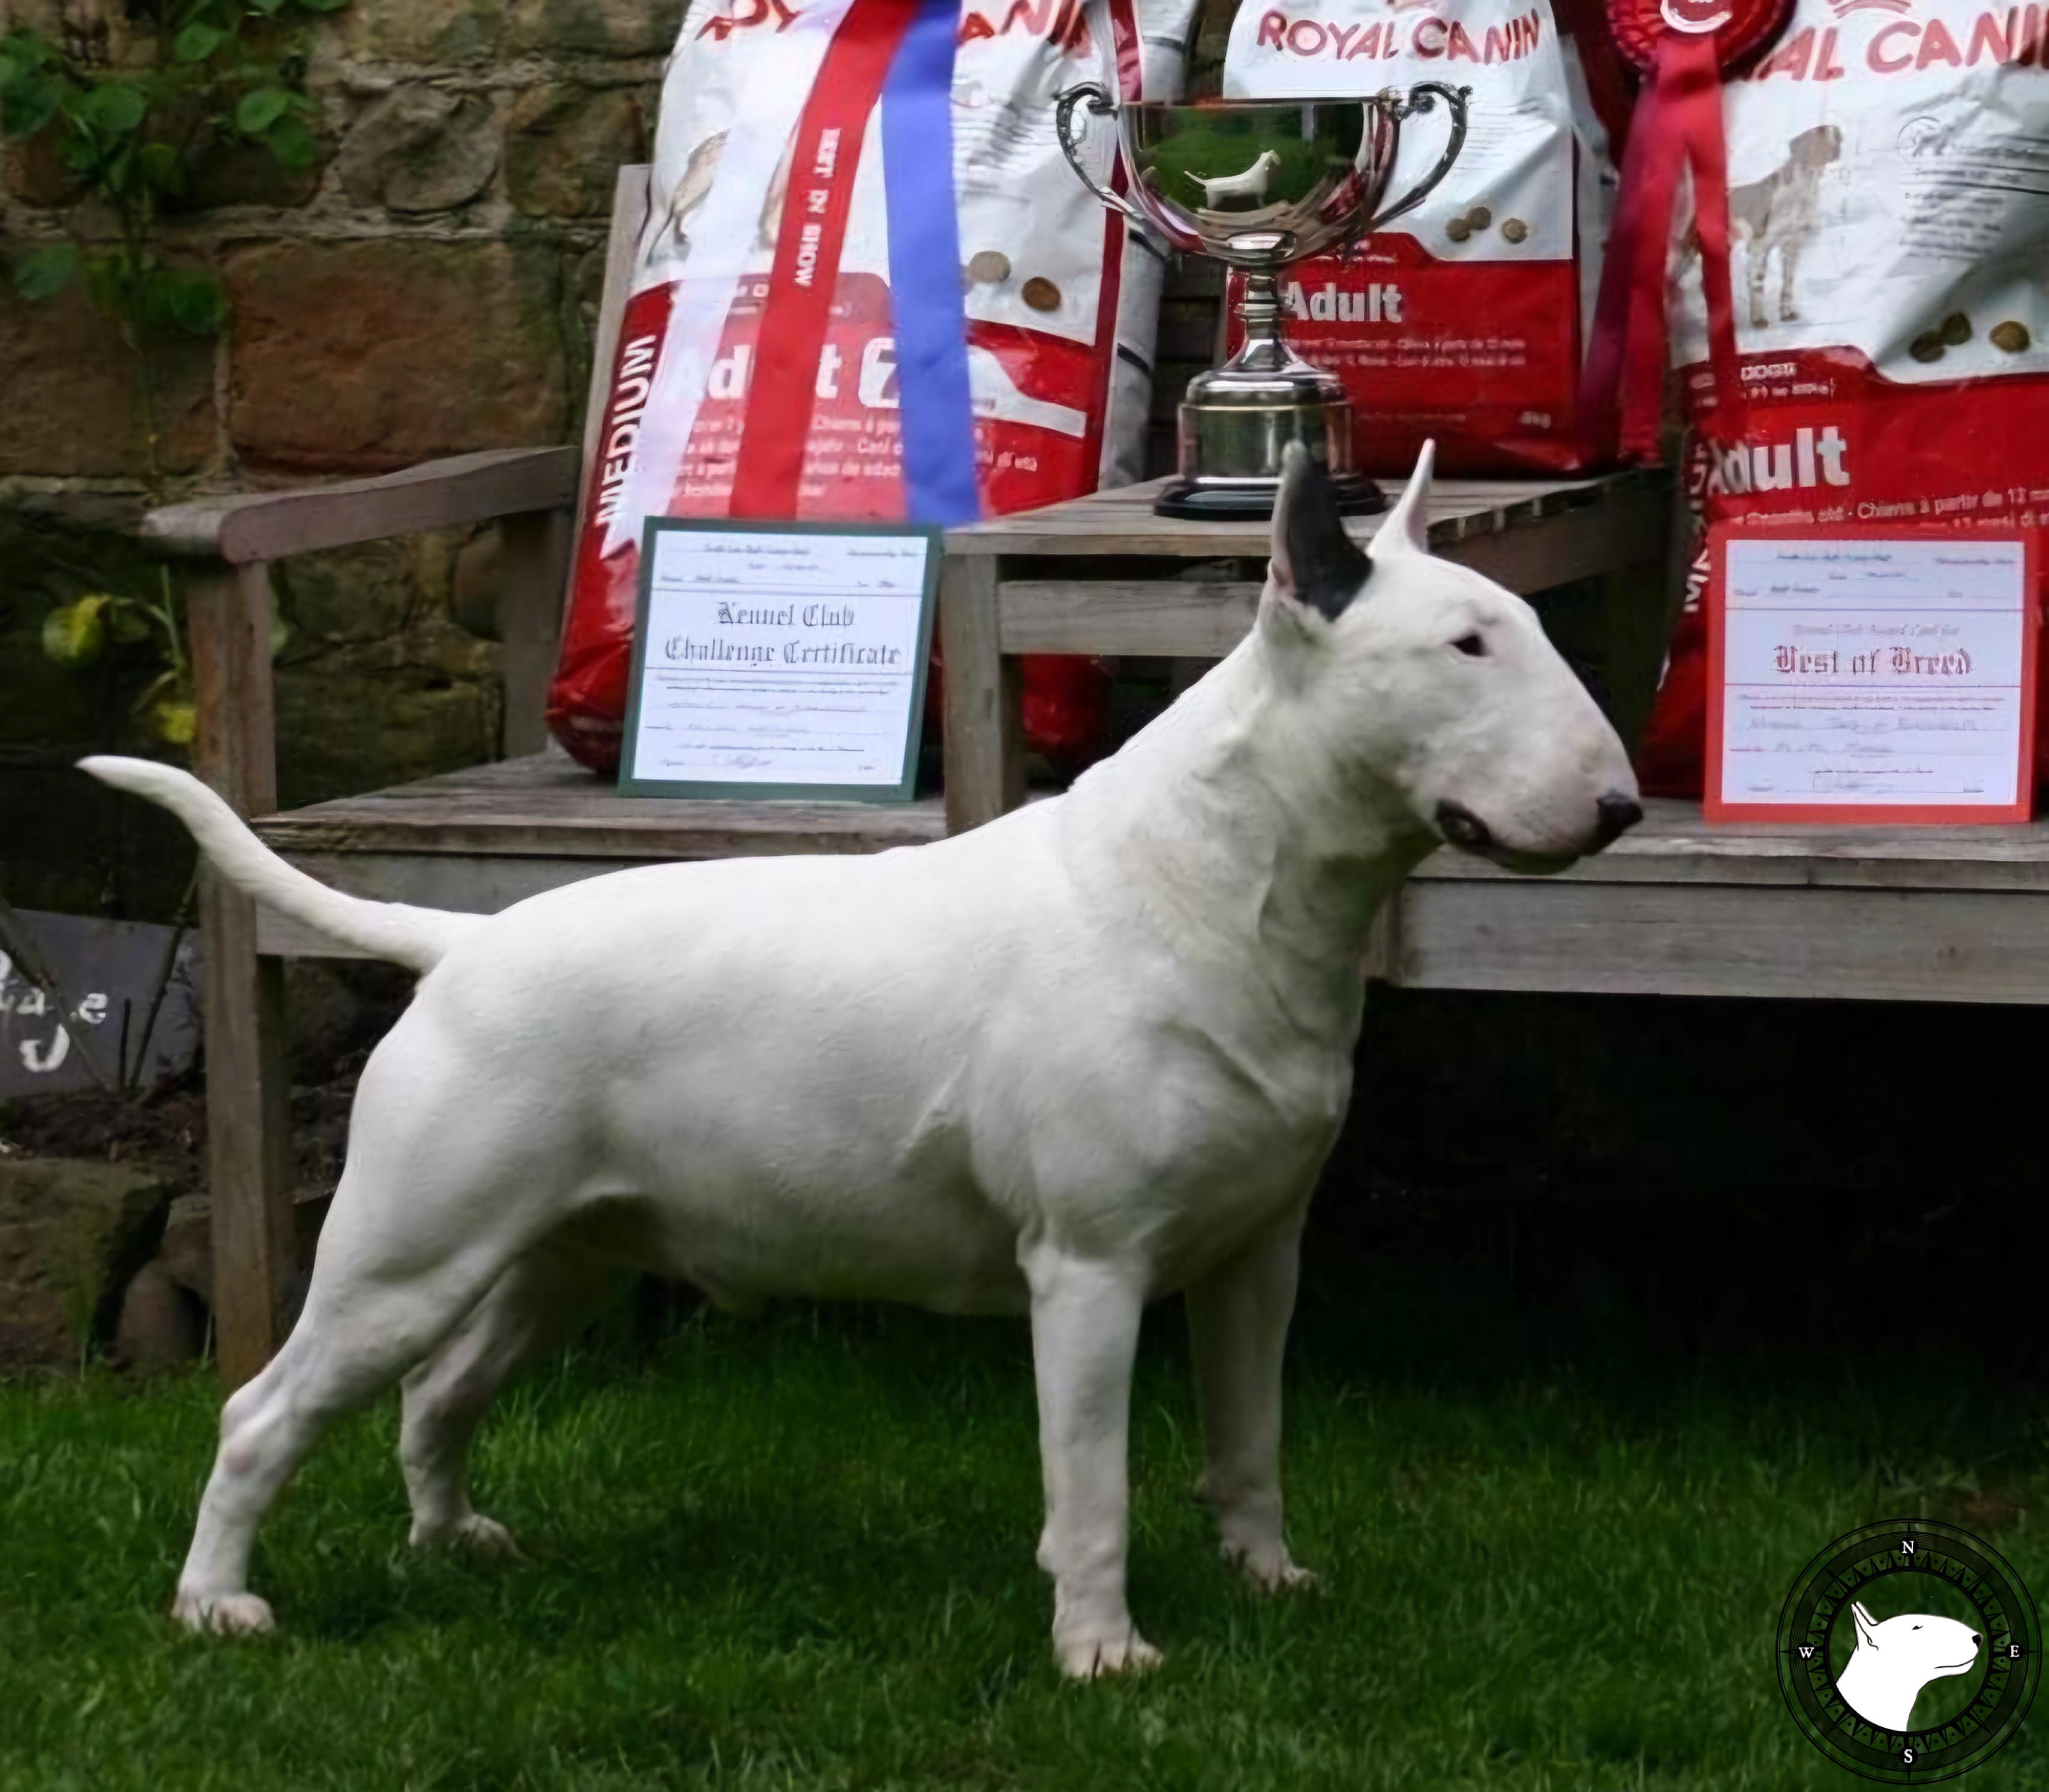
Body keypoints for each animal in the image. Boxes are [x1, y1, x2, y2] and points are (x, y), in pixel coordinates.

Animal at [88, 444, 1639, 1679]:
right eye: (1466, 646)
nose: (1620, 806)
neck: (1213, 883)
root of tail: (461, 943)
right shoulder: (1088, 1267)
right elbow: (1092, 1483)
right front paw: (1102, 1650)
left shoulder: (1259, 1251)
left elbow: (1249, 1439)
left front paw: (1273, 1582)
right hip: (409, 1248)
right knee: (266, 1408)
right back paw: (215, 1603)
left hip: (559, 1254)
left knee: (438, 1393)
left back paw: (452, 1542)